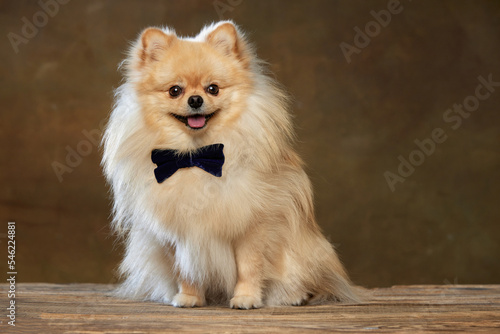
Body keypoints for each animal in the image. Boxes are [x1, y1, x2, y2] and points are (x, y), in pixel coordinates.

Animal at [102, 20, 360, 308]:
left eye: (212, 88)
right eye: (174, 91)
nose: (195, 100)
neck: (196, 155)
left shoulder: (252, 224)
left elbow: (249, 266)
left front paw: (246, 298)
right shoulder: (179, 231)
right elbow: (186, 268)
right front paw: (189, 297)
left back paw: (294, 296)